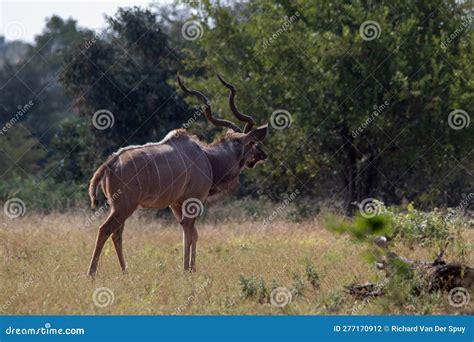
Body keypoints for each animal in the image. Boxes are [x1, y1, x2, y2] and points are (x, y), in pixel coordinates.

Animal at [87, 74, 268, 276]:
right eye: (252, 143)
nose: (263, 155)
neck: (208, 158)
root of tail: (110, 163)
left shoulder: (176, 204)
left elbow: (191, 234)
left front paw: (192, 269)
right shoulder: (193, 201)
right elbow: (190, 233)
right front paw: (187, 270)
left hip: (118, 207)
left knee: (117, 233)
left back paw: (125, 272)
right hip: (124, 205)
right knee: (105, 230)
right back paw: (92, 273)